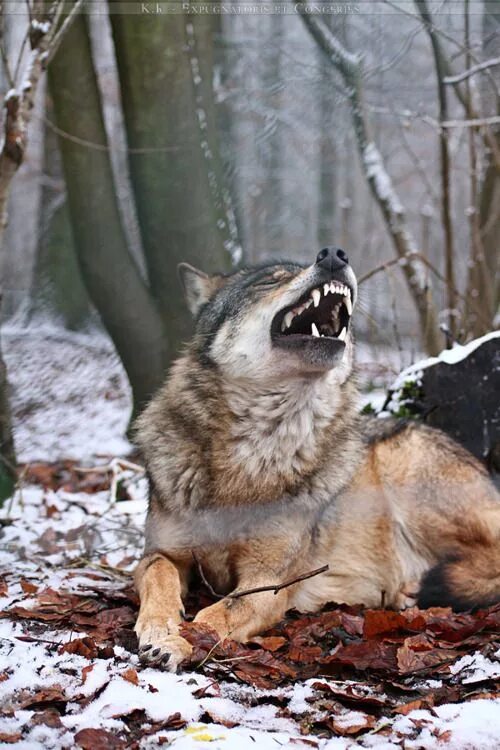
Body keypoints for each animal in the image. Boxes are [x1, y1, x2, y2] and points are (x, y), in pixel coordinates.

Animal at [133, 250, 500, 672]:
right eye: (269, 280)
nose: (334, 255)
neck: (256, 451)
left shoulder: (269, 582)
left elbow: (215, 614)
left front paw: (179, 641)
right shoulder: (161, 554)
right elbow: (159, 576)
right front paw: (160, 629)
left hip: (407, 474)